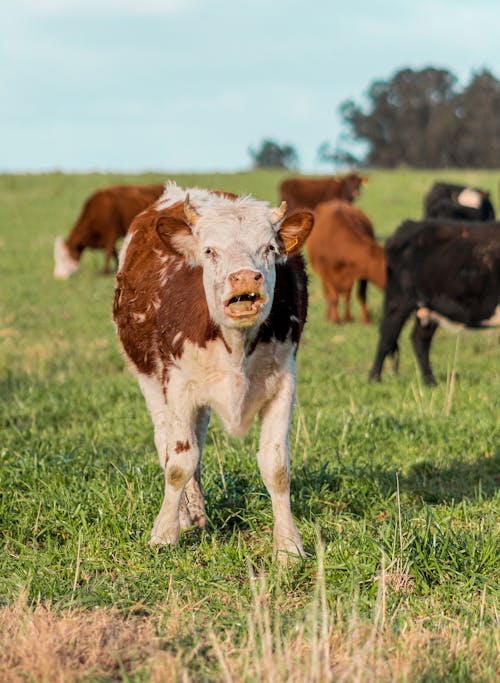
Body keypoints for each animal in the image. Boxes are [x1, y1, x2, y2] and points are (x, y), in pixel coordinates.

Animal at [115, 182, 314, 560]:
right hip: (152, 383)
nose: (245, 278)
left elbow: (276, 466)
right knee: (167, 444)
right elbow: (178, 463)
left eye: (269, 248)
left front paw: (288, 545)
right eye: (209, 251)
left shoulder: (284, 382)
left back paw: (197, 516)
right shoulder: (178, 384)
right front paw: (165, 533)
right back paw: (185, 517)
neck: (236, 345)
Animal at [368, 222, 500, 388]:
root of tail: (408, 225)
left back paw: (430, 382)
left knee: (419, 339)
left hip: (428, 307)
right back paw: (374, 378)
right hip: (399, 299)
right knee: (387, 335)